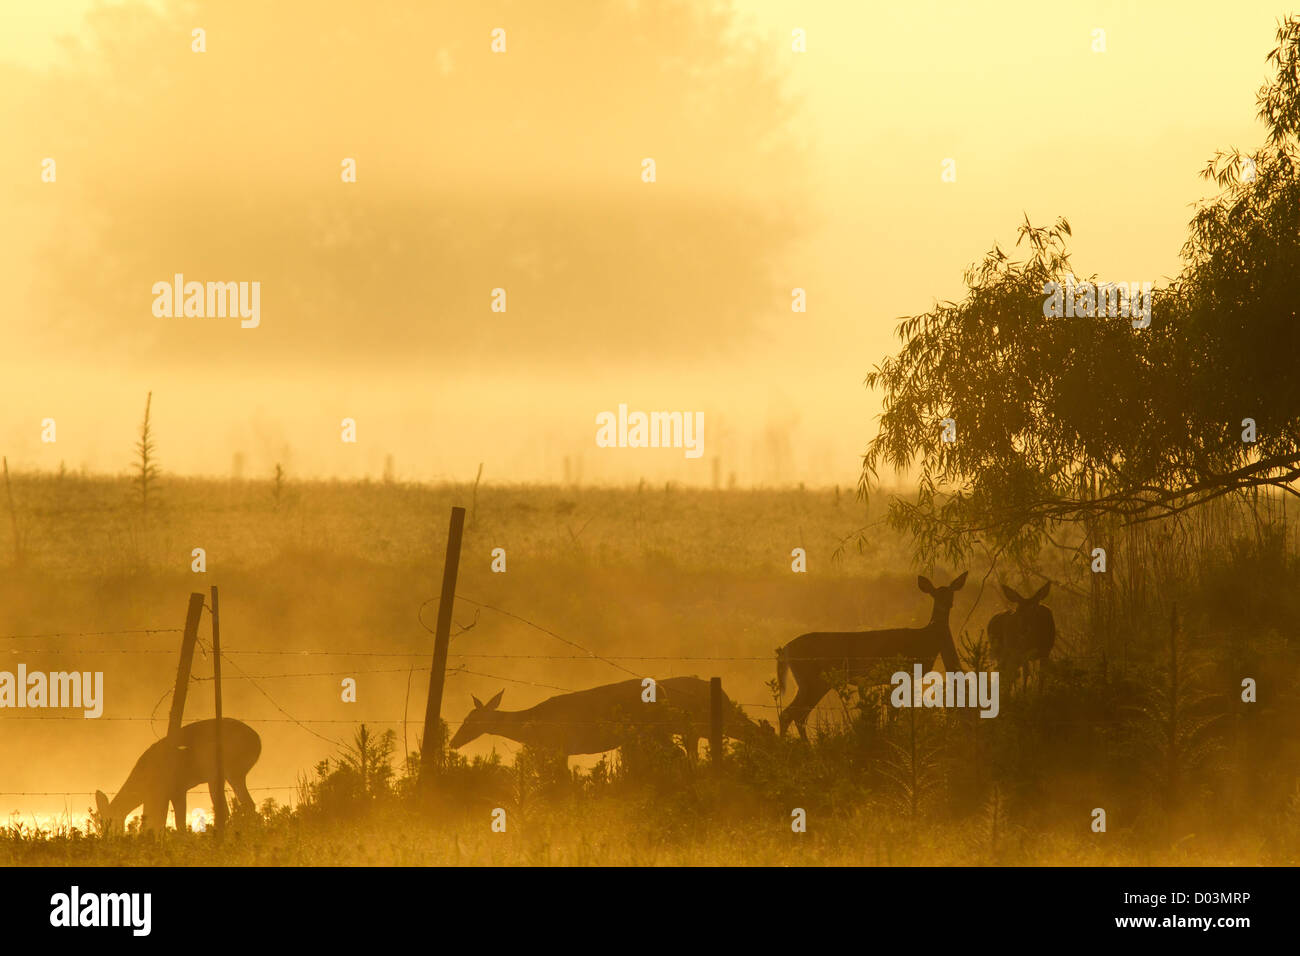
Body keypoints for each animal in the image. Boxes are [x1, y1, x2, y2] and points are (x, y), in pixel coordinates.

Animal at [94, 717, 260, 832]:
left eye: (109, 822)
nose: (108, 838)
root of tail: (257, 740)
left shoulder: (175, 788)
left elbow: (177, 821)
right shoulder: (168, 793)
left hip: (222, 771)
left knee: (227, 809)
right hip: (234, 774)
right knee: (247, 805)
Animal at [769, 572, 967, 743]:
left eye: (951, 594)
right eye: (935, 595)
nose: (946, 605)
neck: (926, 640)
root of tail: (785, 649)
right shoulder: (903, 672)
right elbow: (895, 710)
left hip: (811, 682)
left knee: (796, 715)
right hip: (812, 679)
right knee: (791, 714)